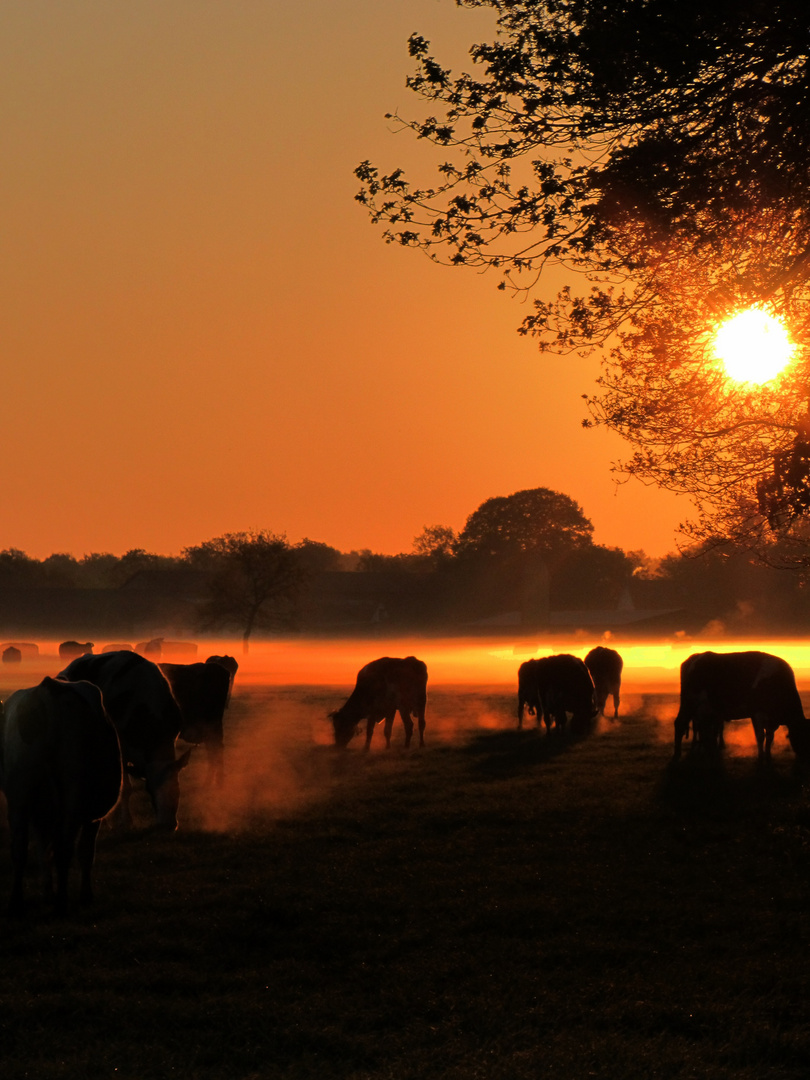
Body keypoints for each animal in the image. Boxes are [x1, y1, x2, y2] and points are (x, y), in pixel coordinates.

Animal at [0, 678, 123, 915]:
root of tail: (49, 690)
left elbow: (42, 849)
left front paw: (48, 892)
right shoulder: (93, 816)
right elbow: (85, 852)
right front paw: (85, 895)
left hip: (20, 795)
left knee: (19, 848)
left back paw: (16, 902)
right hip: (73, 794)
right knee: (64, 848)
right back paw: (61, 902)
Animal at [59, 648, 190, 825]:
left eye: (177, 788)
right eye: (149, 788)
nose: (168, 824)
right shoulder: (121, 746)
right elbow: (126, 788)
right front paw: (126, 820)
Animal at [673, 648, 810, 760]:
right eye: (802, 736)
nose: (805, 757)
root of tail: (696, 657)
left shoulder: (771, 720)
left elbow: (770, 737)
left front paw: (768, 755)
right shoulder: (757, 713)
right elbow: (760, 736)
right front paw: (761, 757)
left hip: (705, 710)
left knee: (705, 730)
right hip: (690, 702)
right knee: (680, 723)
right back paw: (677, 754)